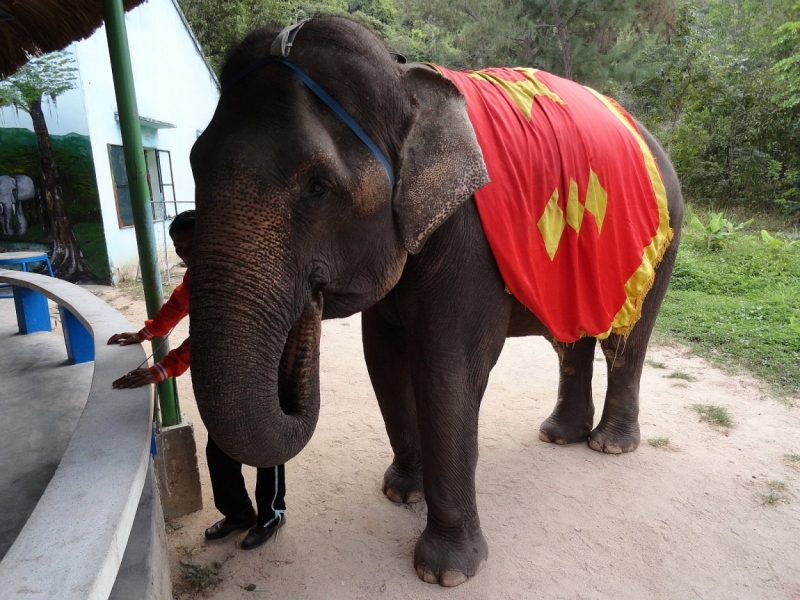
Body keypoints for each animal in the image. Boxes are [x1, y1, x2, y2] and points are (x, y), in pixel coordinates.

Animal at [188, 17, 680, 584]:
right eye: (194, 164)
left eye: (317, 187)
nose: (310, 297)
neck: (405, 83)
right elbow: (384, 358)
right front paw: (401, 492)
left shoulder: (467, 242)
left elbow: (449, 369)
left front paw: (446, 572)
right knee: (572, 338)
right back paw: (560, 436)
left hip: (657, 245)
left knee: (625, 338)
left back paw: (608, 445)